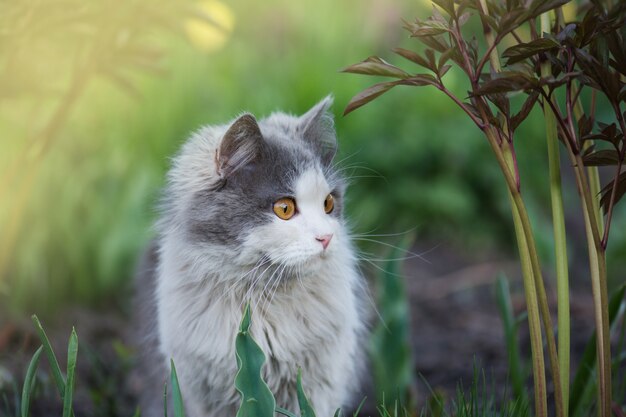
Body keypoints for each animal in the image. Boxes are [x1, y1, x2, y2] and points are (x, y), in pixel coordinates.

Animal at [132, 96, 366, 416]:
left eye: (329, 203)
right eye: (284, 209)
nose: (326, 238)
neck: (262, 297)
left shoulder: (322, 382)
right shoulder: (198, 388)